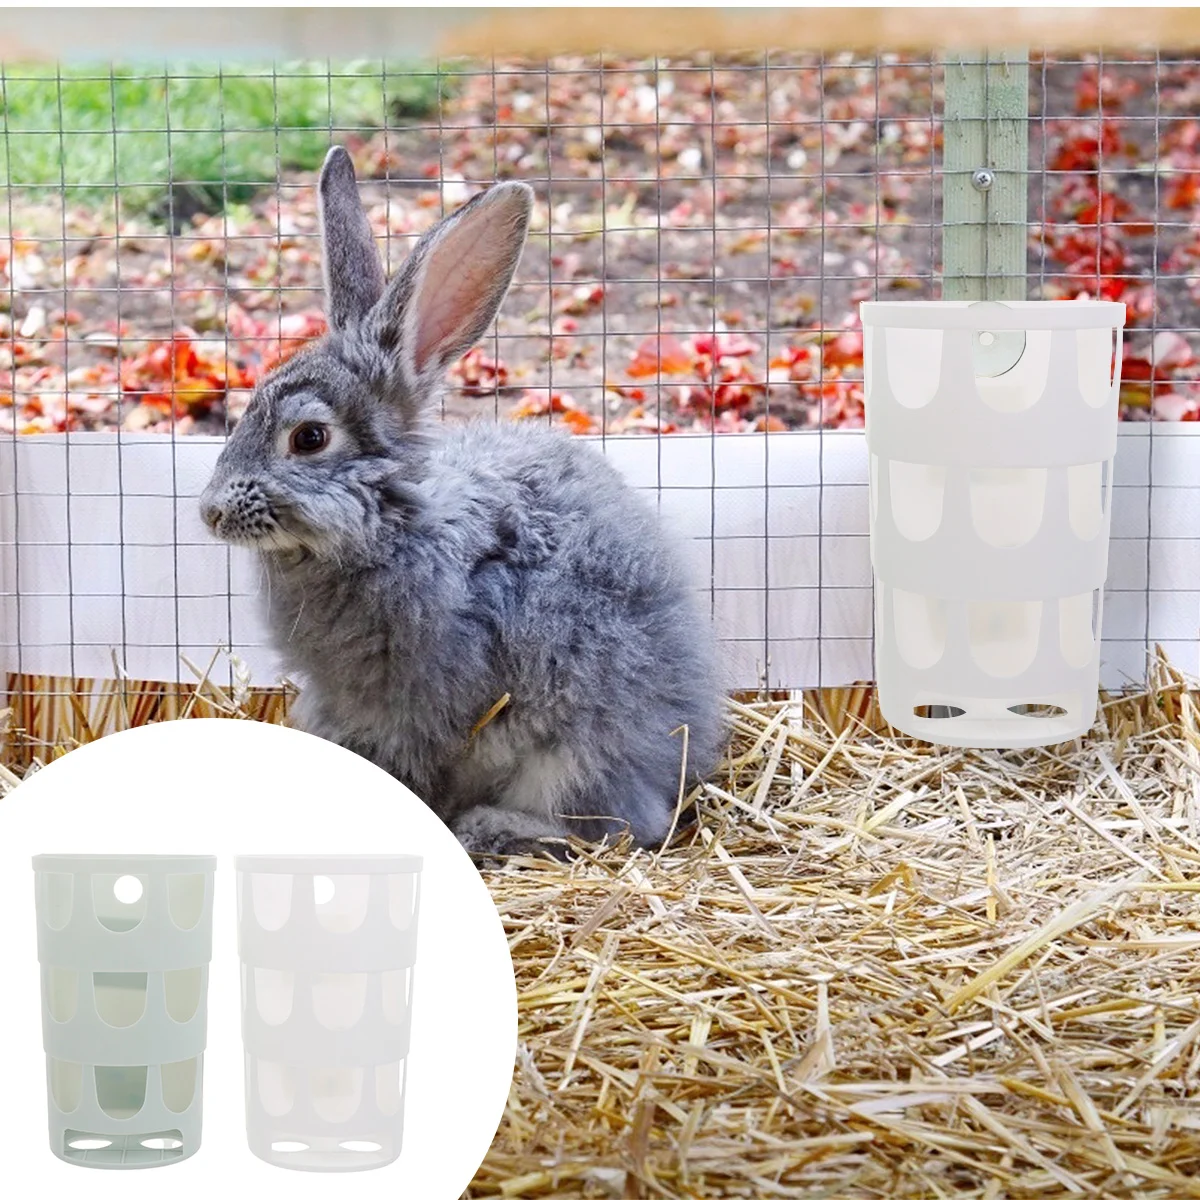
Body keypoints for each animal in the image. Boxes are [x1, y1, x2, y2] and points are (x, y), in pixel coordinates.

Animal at [200, 146, 726, 858]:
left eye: (309, 438)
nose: (210, 511)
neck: (393, 523)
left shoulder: (417, 714)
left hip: (576, 747)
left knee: (619, 826)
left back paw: (493, 827)